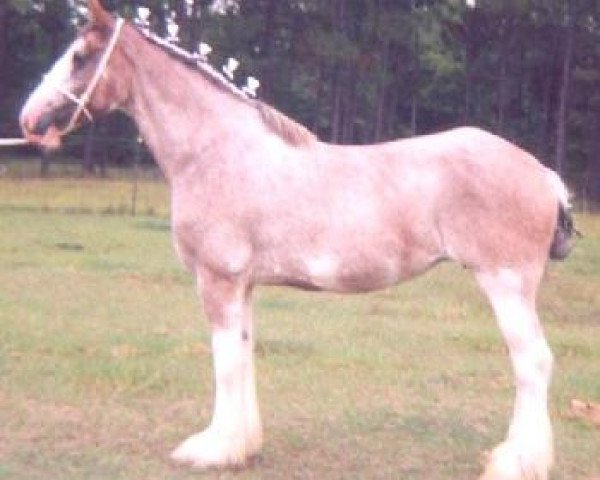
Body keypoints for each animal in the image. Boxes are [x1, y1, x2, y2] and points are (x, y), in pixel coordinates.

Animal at [21, 1, 576, 478]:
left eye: (80, 57)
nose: (29, 121)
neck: (215, 151)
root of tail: (544, 174)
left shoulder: (218, 281)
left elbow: (225, 365)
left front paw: (213, 450)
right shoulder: (242, 285)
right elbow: (242, 357)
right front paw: (241, 445)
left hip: (505, 284)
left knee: (533, 363)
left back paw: (516, 462)